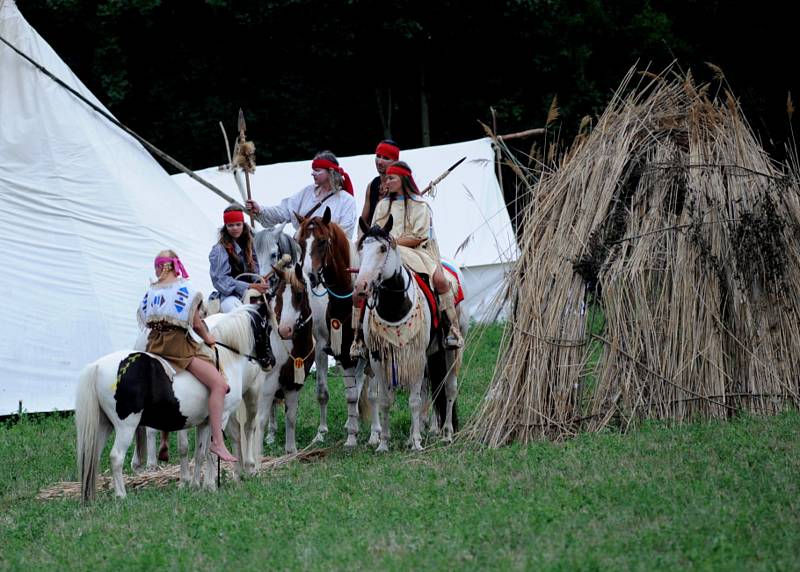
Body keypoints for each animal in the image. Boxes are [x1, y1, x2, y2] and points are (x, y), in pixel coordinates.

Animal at [75, 304, 276, 500]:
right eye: (267, 329)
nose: (271, 361)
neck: (226, 360)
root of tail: (97, 366)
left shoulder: (204, 422)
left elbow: (201, 453)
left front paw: (196, 486)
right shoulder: (222, 416)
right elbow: (212, 451)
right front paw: (211, 486)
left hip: (104, 425)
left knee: (93, 456)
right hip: (126, 426)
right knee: (116, 457)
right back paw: (121, 495)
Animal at [354, 214, 468, 452]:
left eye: (382, 248)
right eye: (361, 248)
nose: (361, 286)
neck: (395, 305)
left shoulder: (416, 354)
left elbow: (414, 401)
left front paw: (416, 442)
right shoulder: (378, 359)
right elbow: (385, 399)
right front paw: (383, 443)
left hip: (451, 349)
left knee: (449, 388)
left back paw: (446, 433)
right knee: (431, 389)